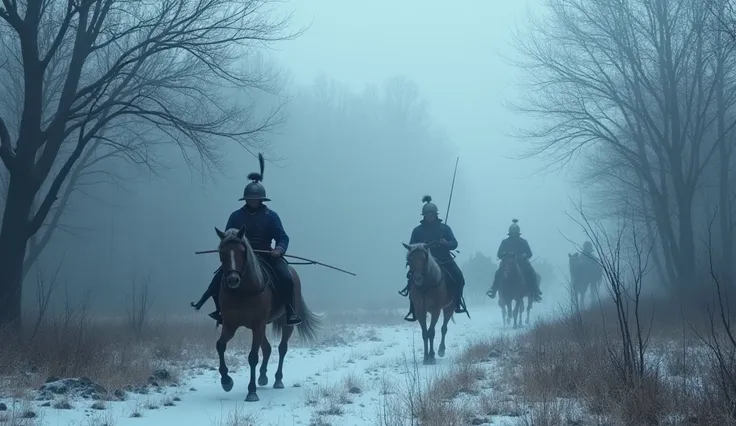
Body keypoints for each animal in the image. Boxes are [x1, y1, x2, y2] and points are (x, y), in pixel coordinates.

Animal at [211, 226, 318, 402]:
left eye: (242, 251)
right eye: (221, 252)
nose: (232, 280)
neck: (243, 292)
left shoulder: (258, 325)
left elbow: (253, 357)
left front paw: (251, 392)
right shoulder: (230, 325)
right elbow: (220, 345)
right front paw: (226, 381)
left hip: (284, 324)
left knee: (282, 348)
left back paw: (278, 380)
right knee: (267, 348)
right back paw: (262, 377)